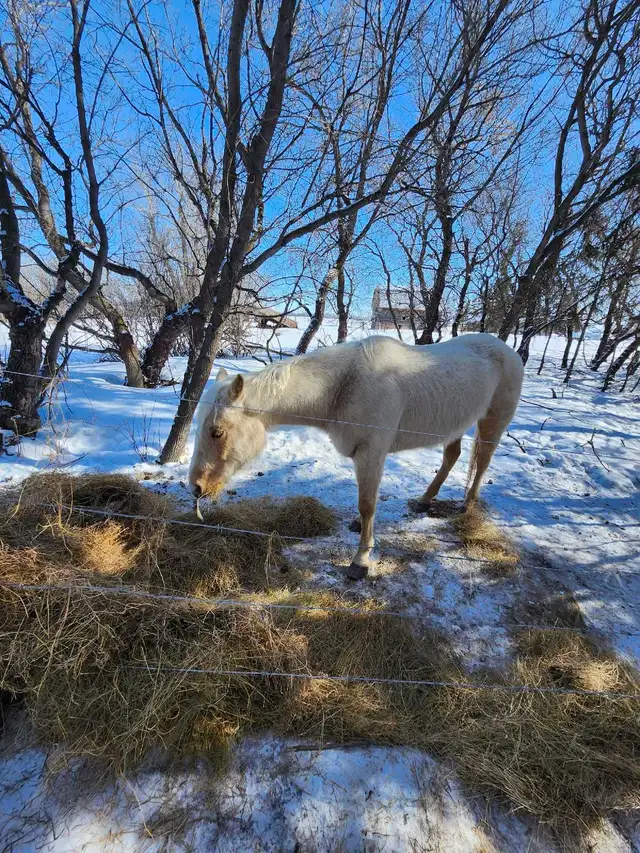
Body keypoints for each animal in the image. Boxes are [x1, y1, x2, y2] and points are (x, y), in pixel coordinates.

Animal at [188, 333, 524, 580]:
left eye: (217, 432)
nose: (196, 487)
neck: (345, 385)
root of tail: (509, 351)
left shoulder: (372, 454)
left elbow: (367, 505)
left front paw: (360, 561)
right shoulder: (362, 457)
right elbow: (364, 503)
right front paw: (357, 529)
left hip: (493, 422)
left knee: (483, 460)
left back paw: (467, 505)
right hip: (453, 426)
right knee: (452, 456)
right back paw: (424, 500)